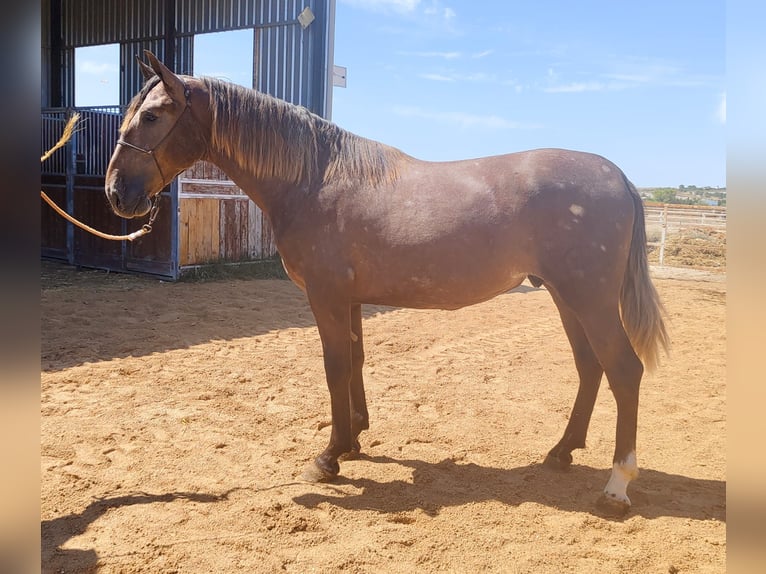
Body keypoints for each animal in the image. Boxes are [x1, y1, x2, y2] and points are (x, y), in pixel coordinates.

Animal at [105, 53, 668, 516]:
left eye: (151, 116)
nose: (116, 192)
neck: (315, 179)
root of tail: (619, 178)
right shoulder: (350, 300)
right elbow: (355, 361)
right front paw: (354, 439)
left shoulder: (326, 297)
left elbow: (334, 367)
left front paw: (329, 457)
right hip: (566, 297)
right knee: (590, 368)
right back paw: (561, 452)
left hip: (590, 299)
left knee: (623, 371)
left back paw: (617, 485)